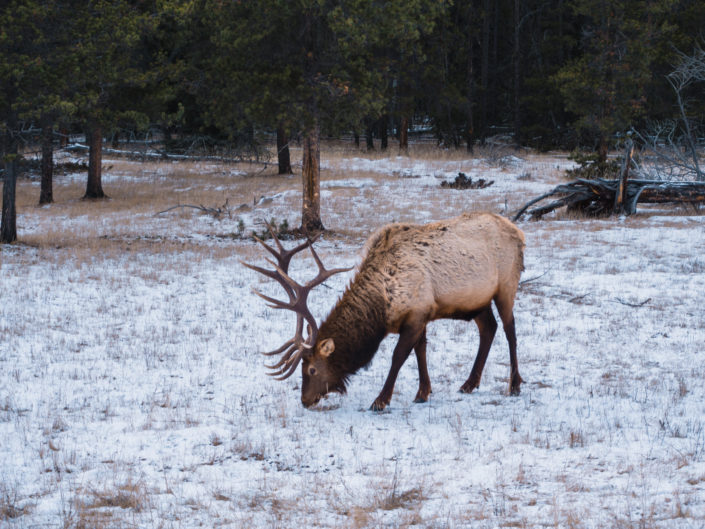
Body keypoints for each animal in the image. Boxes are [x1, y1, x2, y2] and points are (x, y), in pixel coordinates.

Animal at [242, 212, 524, 410]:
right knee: (489, 328)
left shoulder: (417, 314)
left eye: (311, 370)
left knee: (510, 330)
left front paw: (380, 400)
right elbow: (420, 351)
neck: (382, 307)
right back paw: (469, 384)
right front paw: (423, 393)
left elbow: (399, 356)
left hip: (507, 286)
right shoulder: (420, 315)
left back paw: (515, 385)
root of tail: (519, 233)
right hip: (478, 301)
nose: (305, 400)